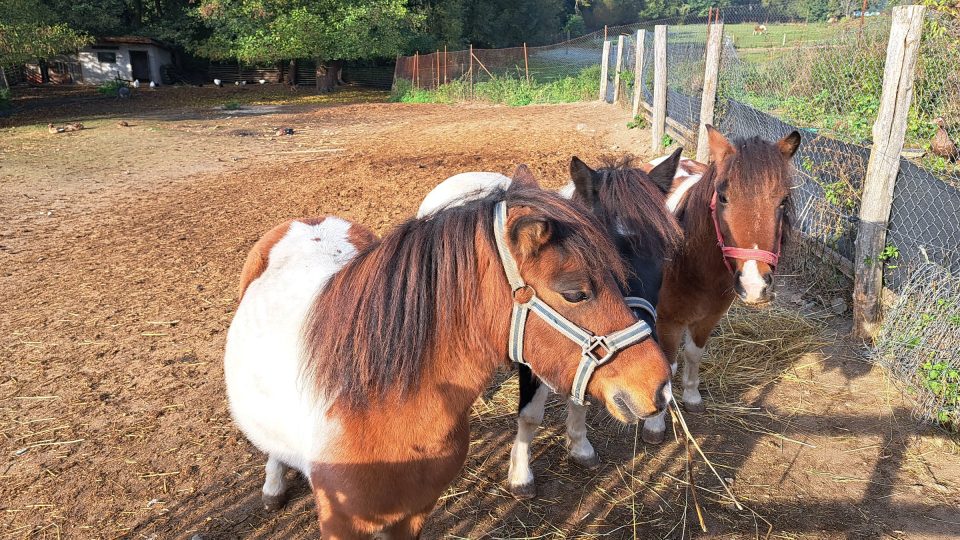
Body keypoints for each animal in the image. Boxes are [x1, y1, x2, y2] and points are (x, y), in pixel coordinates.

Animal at [226, 173, 676, 536]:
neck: (377, 406)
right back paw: (273, 486)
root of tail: (310, 221)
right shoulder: (342, 524)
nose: (660, 387)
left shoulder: (412, 514)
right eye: (575, 293)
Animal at [636, 126, 804, 442]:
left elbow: (694, 353)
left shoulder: (709, 318)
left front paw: (692, 397)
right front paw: (656, 424)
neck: (693, 267)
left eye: (783, 201)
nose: (754, 285)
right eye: (723, 197)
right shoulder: (668, 321)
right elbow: (668, 364)